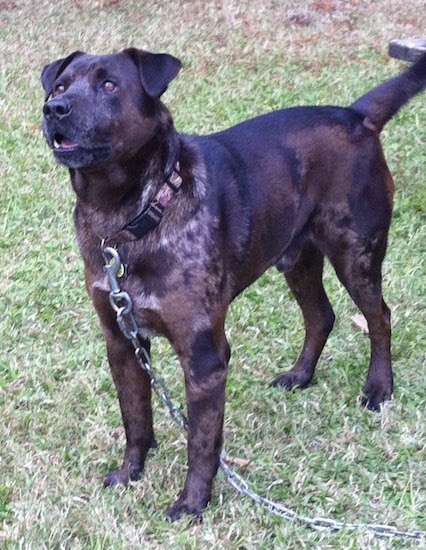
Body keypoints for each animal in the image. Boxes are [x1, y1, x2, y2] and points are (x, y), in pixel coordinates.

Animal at [40, 47, 426, 520]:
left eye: (109, 85)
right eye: (59, 86)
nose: (54, 109)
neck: (131, 216)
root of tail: (355, 115)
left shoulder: (204, 356)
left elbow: (202, 442)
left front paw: (192, 504)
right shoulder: (122, 342)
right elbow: (136, 419)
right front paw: (130, 473)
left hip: (357, 256)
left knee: (380, 317)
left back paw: (379, 388)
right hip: (297, 259)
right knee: (322, 316)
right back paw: (300, 376)